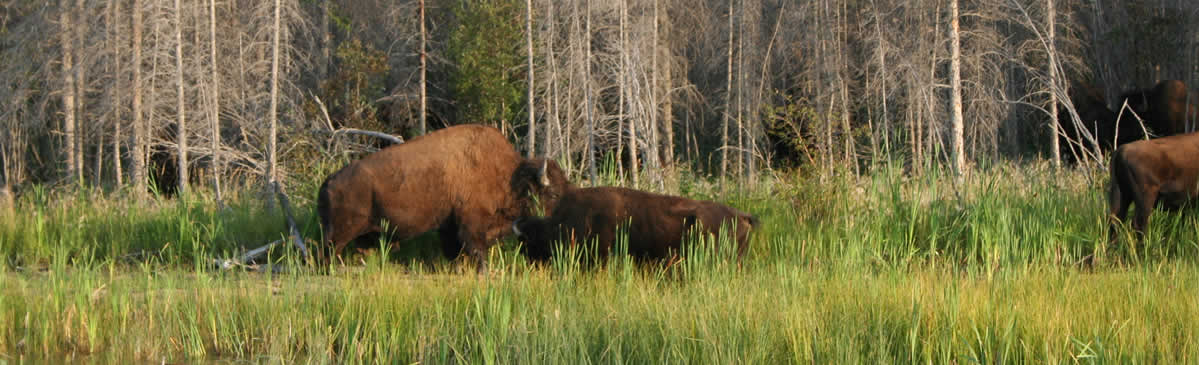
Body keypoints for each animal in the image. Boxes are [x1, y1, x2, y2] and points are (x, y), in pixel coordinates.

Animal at [316, 125, 563, 271]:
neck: (509, 177)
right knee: (326, 253)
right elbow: (476, 251)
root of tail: (328, 182)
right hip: (339, 234)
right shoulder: (471, 225)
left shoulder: (450, 226)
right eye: (551, 193)